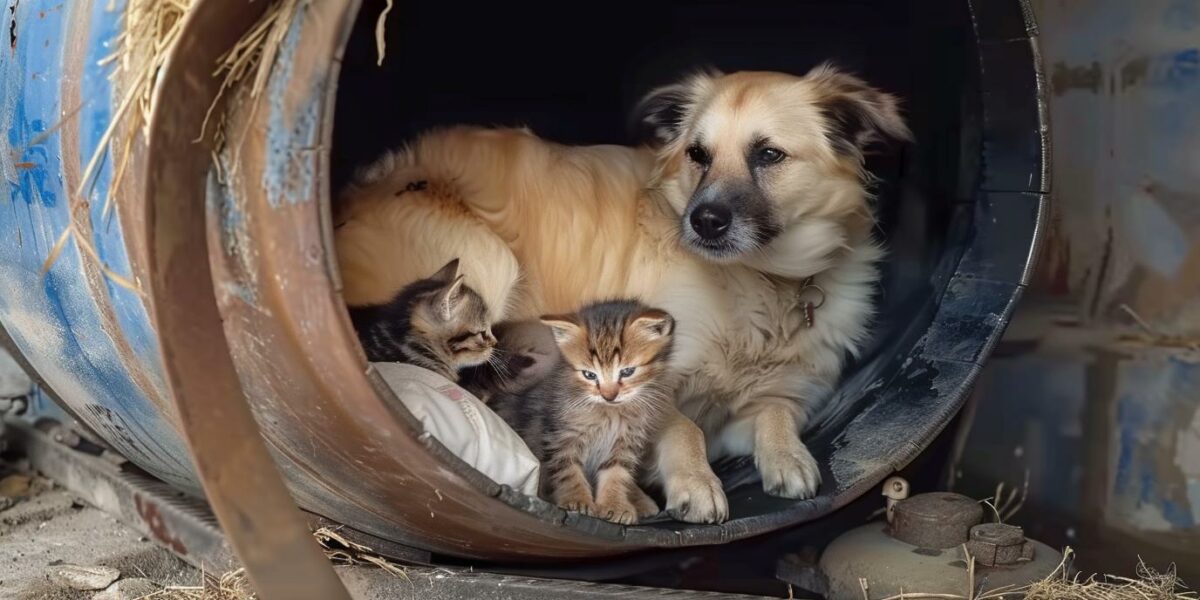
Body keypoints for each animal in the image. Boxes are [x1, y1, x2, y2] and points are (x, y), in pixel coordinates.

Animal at [487, 300, 676, 525]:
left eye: (627, 372)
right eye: (589, 375)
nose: (609, 395)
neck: (609, 413)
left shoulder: (625, 442)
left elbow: (617, 473)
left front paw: (615, 505)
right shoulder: (560, 436)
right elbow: (568, 470)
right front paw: (577, 501)